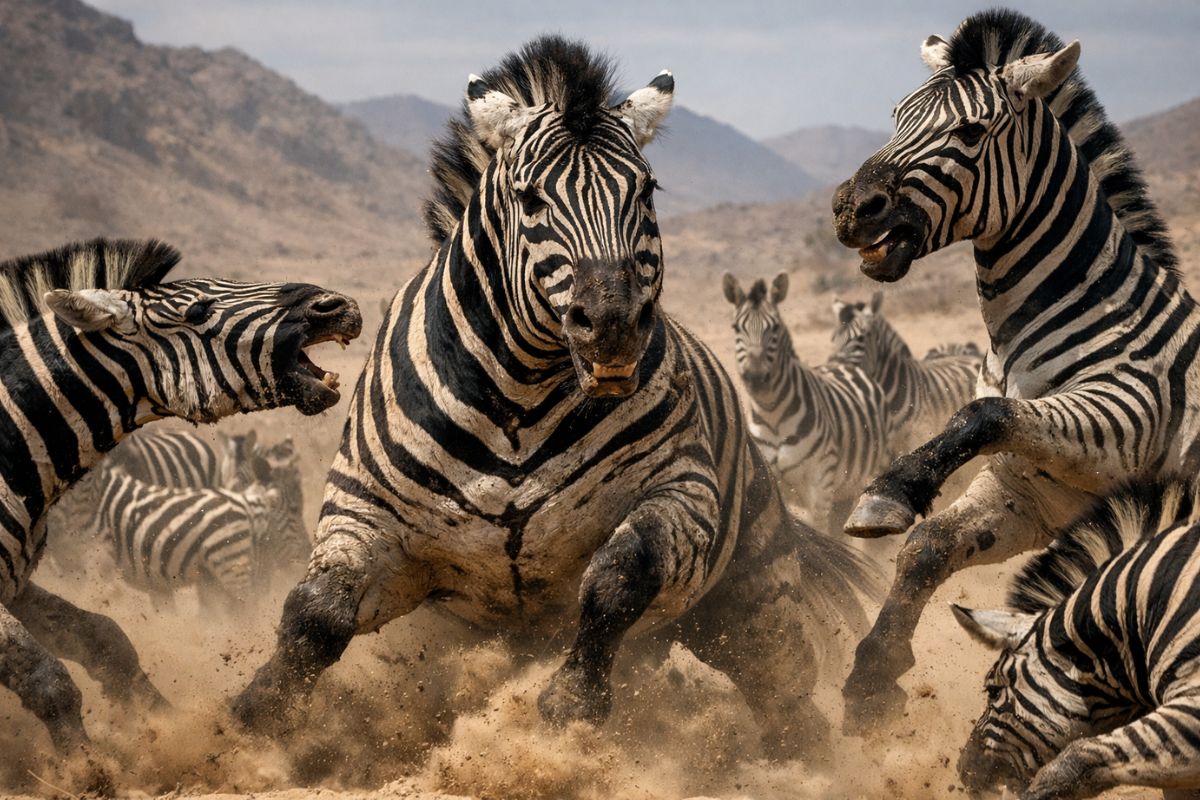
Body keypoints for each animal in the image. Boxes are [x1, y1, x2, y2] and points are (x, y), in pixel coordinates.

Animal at [0, 238, 361, 755]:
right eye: (198, 310)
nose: (336, 305)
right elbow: (44, 677)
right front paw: (86, 764)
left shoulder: (18, 584)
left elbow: (106, 640)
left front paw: (166, 725)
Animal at [722, 271, 894, 534]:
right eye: (735, 328)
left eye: (774, 328)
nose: (756, 377)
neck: (772, 413)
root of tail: (845, 364)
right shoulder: (774, 483)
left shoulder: (820, 485)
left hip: (874, 466)